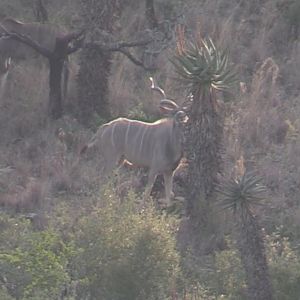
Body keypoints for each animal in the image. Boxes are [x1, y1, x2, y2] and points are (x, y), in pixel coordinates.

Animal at [79, 77, 188, 206]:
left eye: (185, 119)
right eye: (175, 118)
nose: (180, 117)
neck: (171, 144)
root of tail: (103, 128)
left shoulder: (169, 172)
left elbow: (168, 197)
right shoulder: (154, 169)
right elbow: (147, 192)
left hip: (120, 160)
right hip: (112, 158)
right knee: (103, 178)